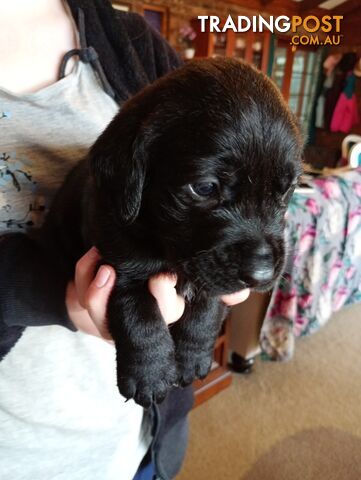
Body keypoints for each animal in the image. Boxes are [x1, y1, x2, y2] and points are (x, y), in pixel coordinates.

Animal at [40, 58, 302, 406]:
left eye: (287, 190)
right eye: (204, 188)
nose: (260, 275)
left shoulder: (213, 275)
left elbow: (208, 307)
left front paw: (193, 357)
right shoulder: (117, 266)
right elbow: (138, 316)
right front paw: (149, 374)